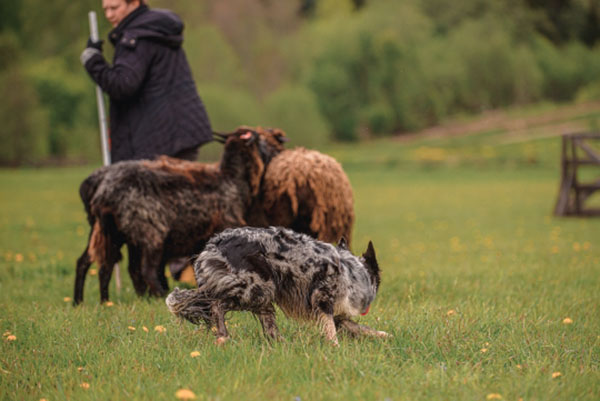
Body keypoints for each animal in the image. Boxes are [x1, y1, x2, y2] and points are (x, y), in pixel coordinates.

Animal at [165, 225, 390, 344]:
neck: (352, 272)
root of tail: (214, 244)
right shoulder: (322, 297)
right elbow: (331, 328)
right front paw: (334, 346)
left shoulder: (337, 312)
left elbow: (358, 326)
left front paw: (383, 335)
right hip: (255, 288)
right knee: (216, 305)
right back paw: (223, 336)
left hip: (261, 293)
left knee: (268, 326)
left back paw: (281, 343)